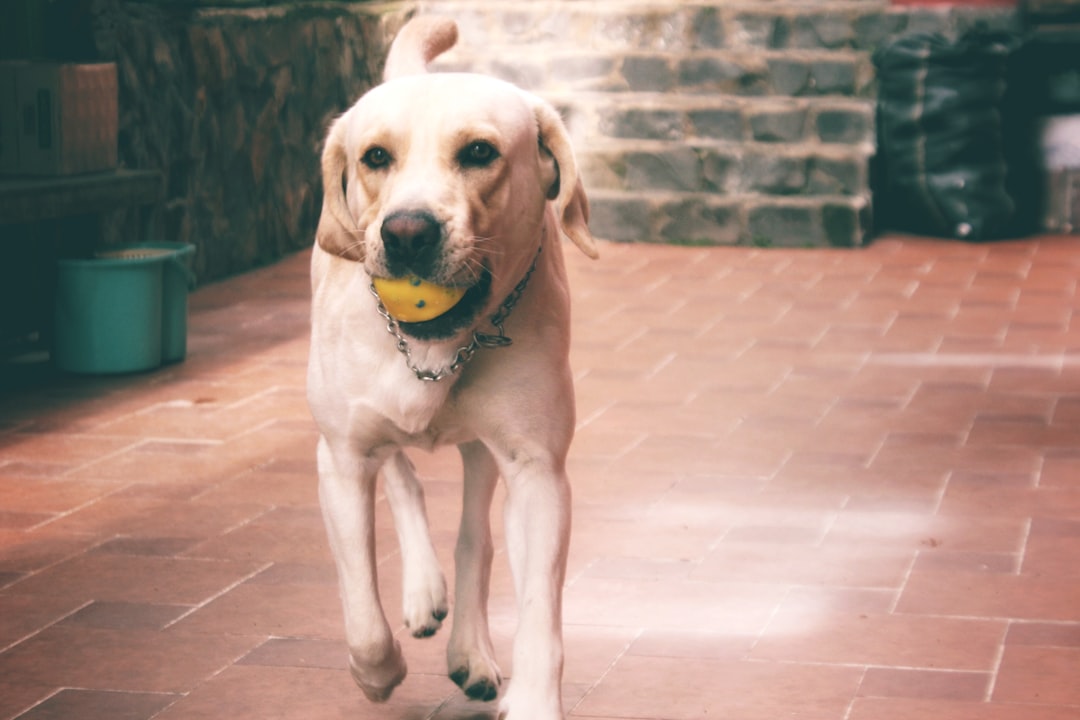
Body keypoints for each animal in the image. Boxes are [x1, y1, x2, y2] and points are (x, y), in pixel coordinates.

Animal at [306, 12, 600, 720]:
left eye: (479, 153)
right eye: (374, 157)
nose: (408, 233)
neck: (437, 351)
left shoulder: (536, 469)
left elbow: (538, 614)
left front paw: (532, 699)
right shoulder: (341, 456)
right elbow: (361, 612)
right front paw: (377, 672)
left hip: (484, 447)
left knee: (475, 535)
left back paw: (468, 645)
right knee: (402, 476)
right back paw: (422, 592)